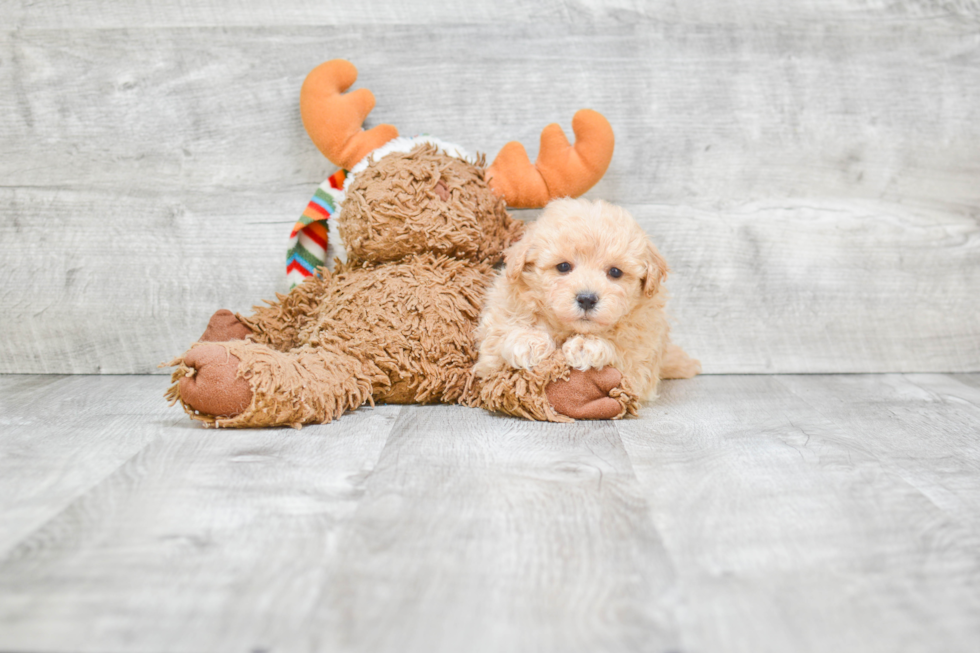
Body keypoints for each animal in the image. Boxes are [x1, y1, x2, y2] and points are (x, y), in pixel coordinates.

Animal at [472, 197, 696, 402]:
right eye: (563, 267)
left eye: (615, 272)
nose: (587, 299)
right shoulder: (493, 342)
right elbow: (499, 341)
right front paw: (527, 341)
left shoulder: (639, 366)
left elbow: (622, 356)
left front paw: (587, 346)